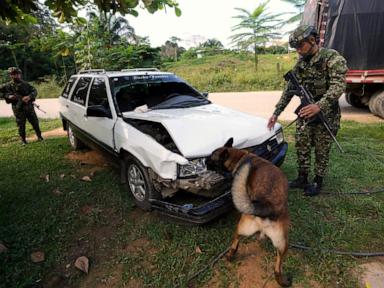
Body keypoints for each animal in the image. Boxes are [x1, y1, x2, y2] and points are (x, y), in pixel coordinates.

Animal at [207, 138, 292, 286]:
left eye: (212, 158)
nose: (204, 160)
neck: (239, 156)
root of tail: (268, 206)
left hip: (242, 225)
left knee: (235, 241)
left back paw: (230, 256)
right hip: (282, 245)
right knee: (277, 268)